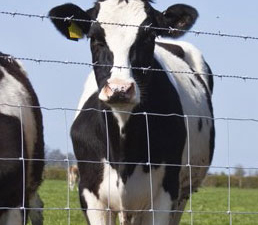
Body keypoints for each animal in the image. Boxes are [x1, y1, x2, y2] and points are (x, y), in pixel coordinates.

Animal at [49, 0, 215, 224]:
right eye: (95, 37)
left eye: (149, 36)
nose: (119, 88)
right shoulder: (90, 194)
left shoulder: (165, 194)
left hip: (182, 192)